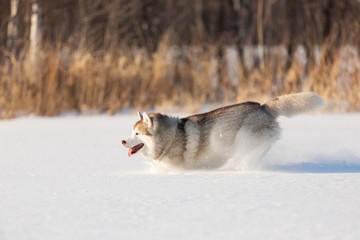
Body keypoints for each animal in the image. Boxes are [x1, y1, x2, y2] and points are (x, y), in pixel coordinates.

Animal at [122, 92, 324, 169]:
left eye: (137, 134)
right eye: (132, 132)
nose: (122, 141)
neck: (170, 138)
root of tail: (263, 107)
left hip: (245, 138)